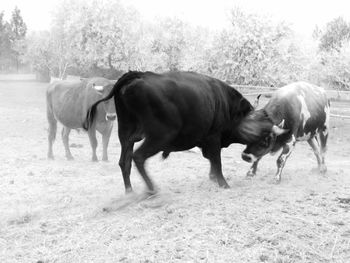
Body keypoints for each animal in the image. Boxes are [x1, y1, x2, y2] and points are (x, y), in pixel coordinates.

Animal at [83, 70, 260, 194]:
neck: (227, 105)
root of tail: (139, 75)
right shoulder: (214, 137)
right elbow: (217, 160)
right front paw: (223, 183)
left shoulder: (206, 141)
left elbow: (211, 159)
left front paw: (213, 178)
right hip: (159, 137)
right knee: (138, 157)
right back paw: (152, 189)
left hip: (126, 135)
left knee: (124, 162)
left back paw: (129, 191)